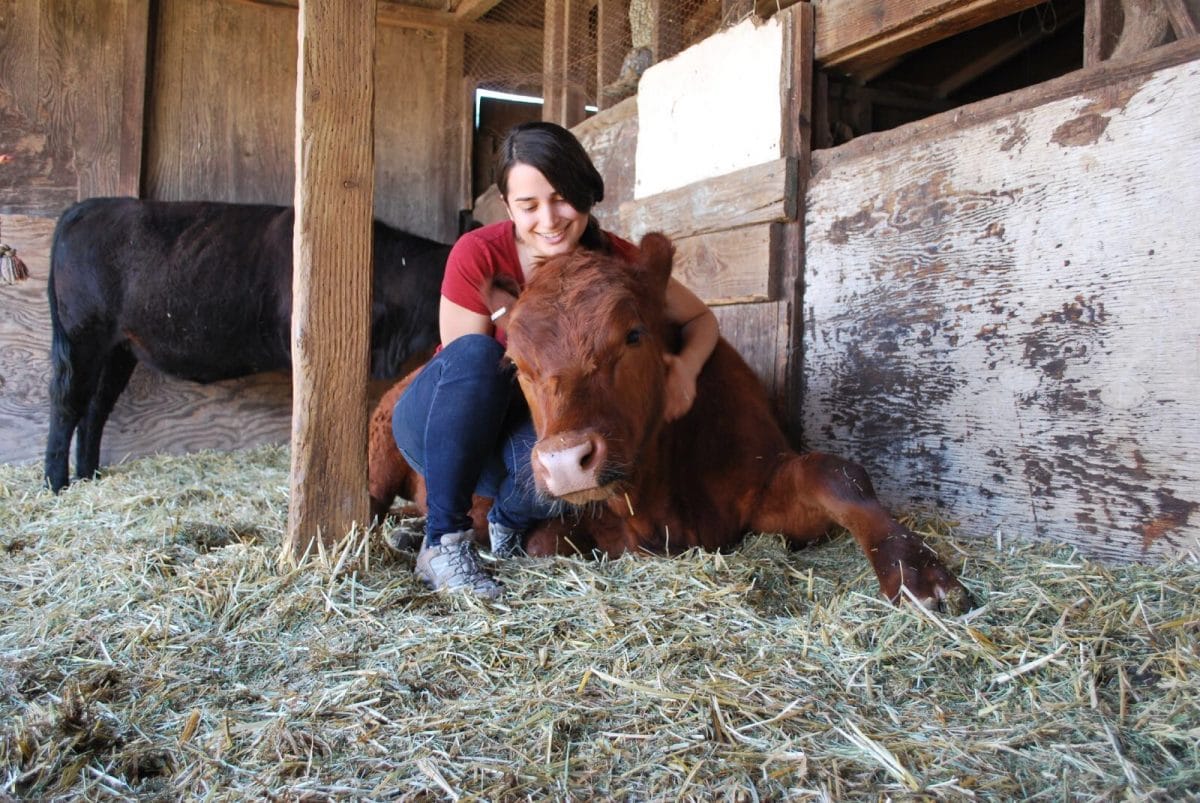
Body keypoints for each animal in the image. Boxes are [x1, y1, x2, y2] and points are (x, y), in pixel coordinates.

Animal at [44, 196, 451, 492]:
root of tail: (88, 206)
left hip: (119, 349)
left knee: (96, 408)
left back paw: (87, 475)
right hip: (83, 337)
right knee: (68, 403)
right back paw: (55, 481)